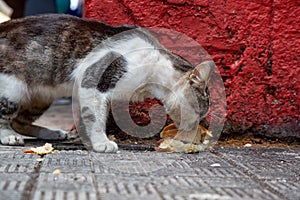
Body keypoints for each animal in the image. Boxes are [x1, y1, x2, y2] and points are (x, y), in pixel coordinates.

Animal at [0, 13, 213, 152]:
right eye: (199, 112)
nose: (198, 125)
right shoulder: (92, 80)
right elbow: (95, 117)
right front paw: (101, 142)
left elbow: (94, 114)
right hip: (12, 89)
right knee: (5, 118)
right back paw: (9, 136)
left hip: (40, 97)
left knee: (20, 121)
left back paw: (52, 133)